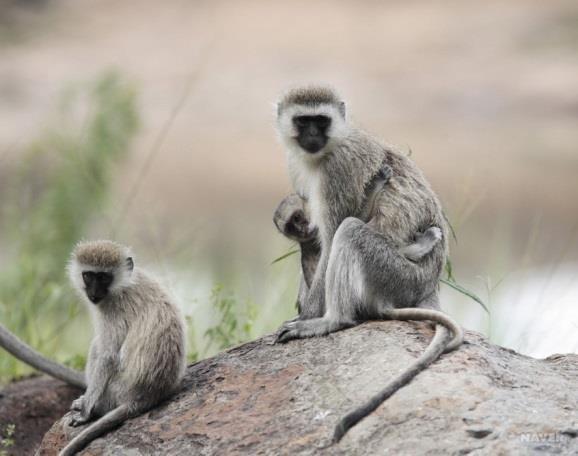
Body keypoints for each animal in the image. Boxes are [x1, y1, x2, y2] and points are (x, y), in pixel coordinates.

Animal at [59, 240, 184, 454]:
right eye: (88, 275)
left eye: (103, 277)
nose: (94, 293)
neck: (123, 285)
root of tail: (146, 395)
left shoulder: (113, 309)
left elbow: (108, 356)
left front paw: (85, 413)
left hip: (115, 391)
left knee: (98, 348)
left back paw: (95, 407)